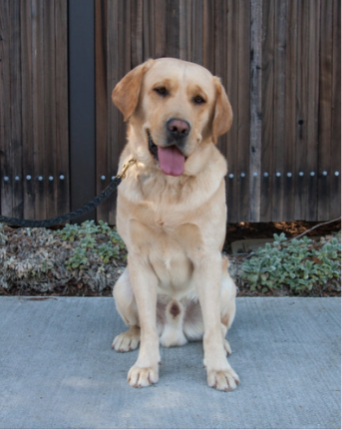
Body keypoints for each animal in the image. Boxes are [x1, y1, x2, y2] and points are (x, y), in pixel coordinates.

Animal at [111, 57, 238, 390]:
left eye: (200, 100)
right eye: (160, 90)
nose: (179, 127)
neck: (166, 185)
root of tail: (175, 329)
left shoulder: (208, 258)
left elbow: (211, 331)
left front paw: (218, 369)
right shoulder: (138, 260)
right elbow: (147, 328)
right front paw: (145, 365)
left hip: (226, 284)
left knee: (218, 327)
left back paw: (223, 344)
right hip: (122, 285)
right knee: (140, 325)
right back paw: (129, 337)